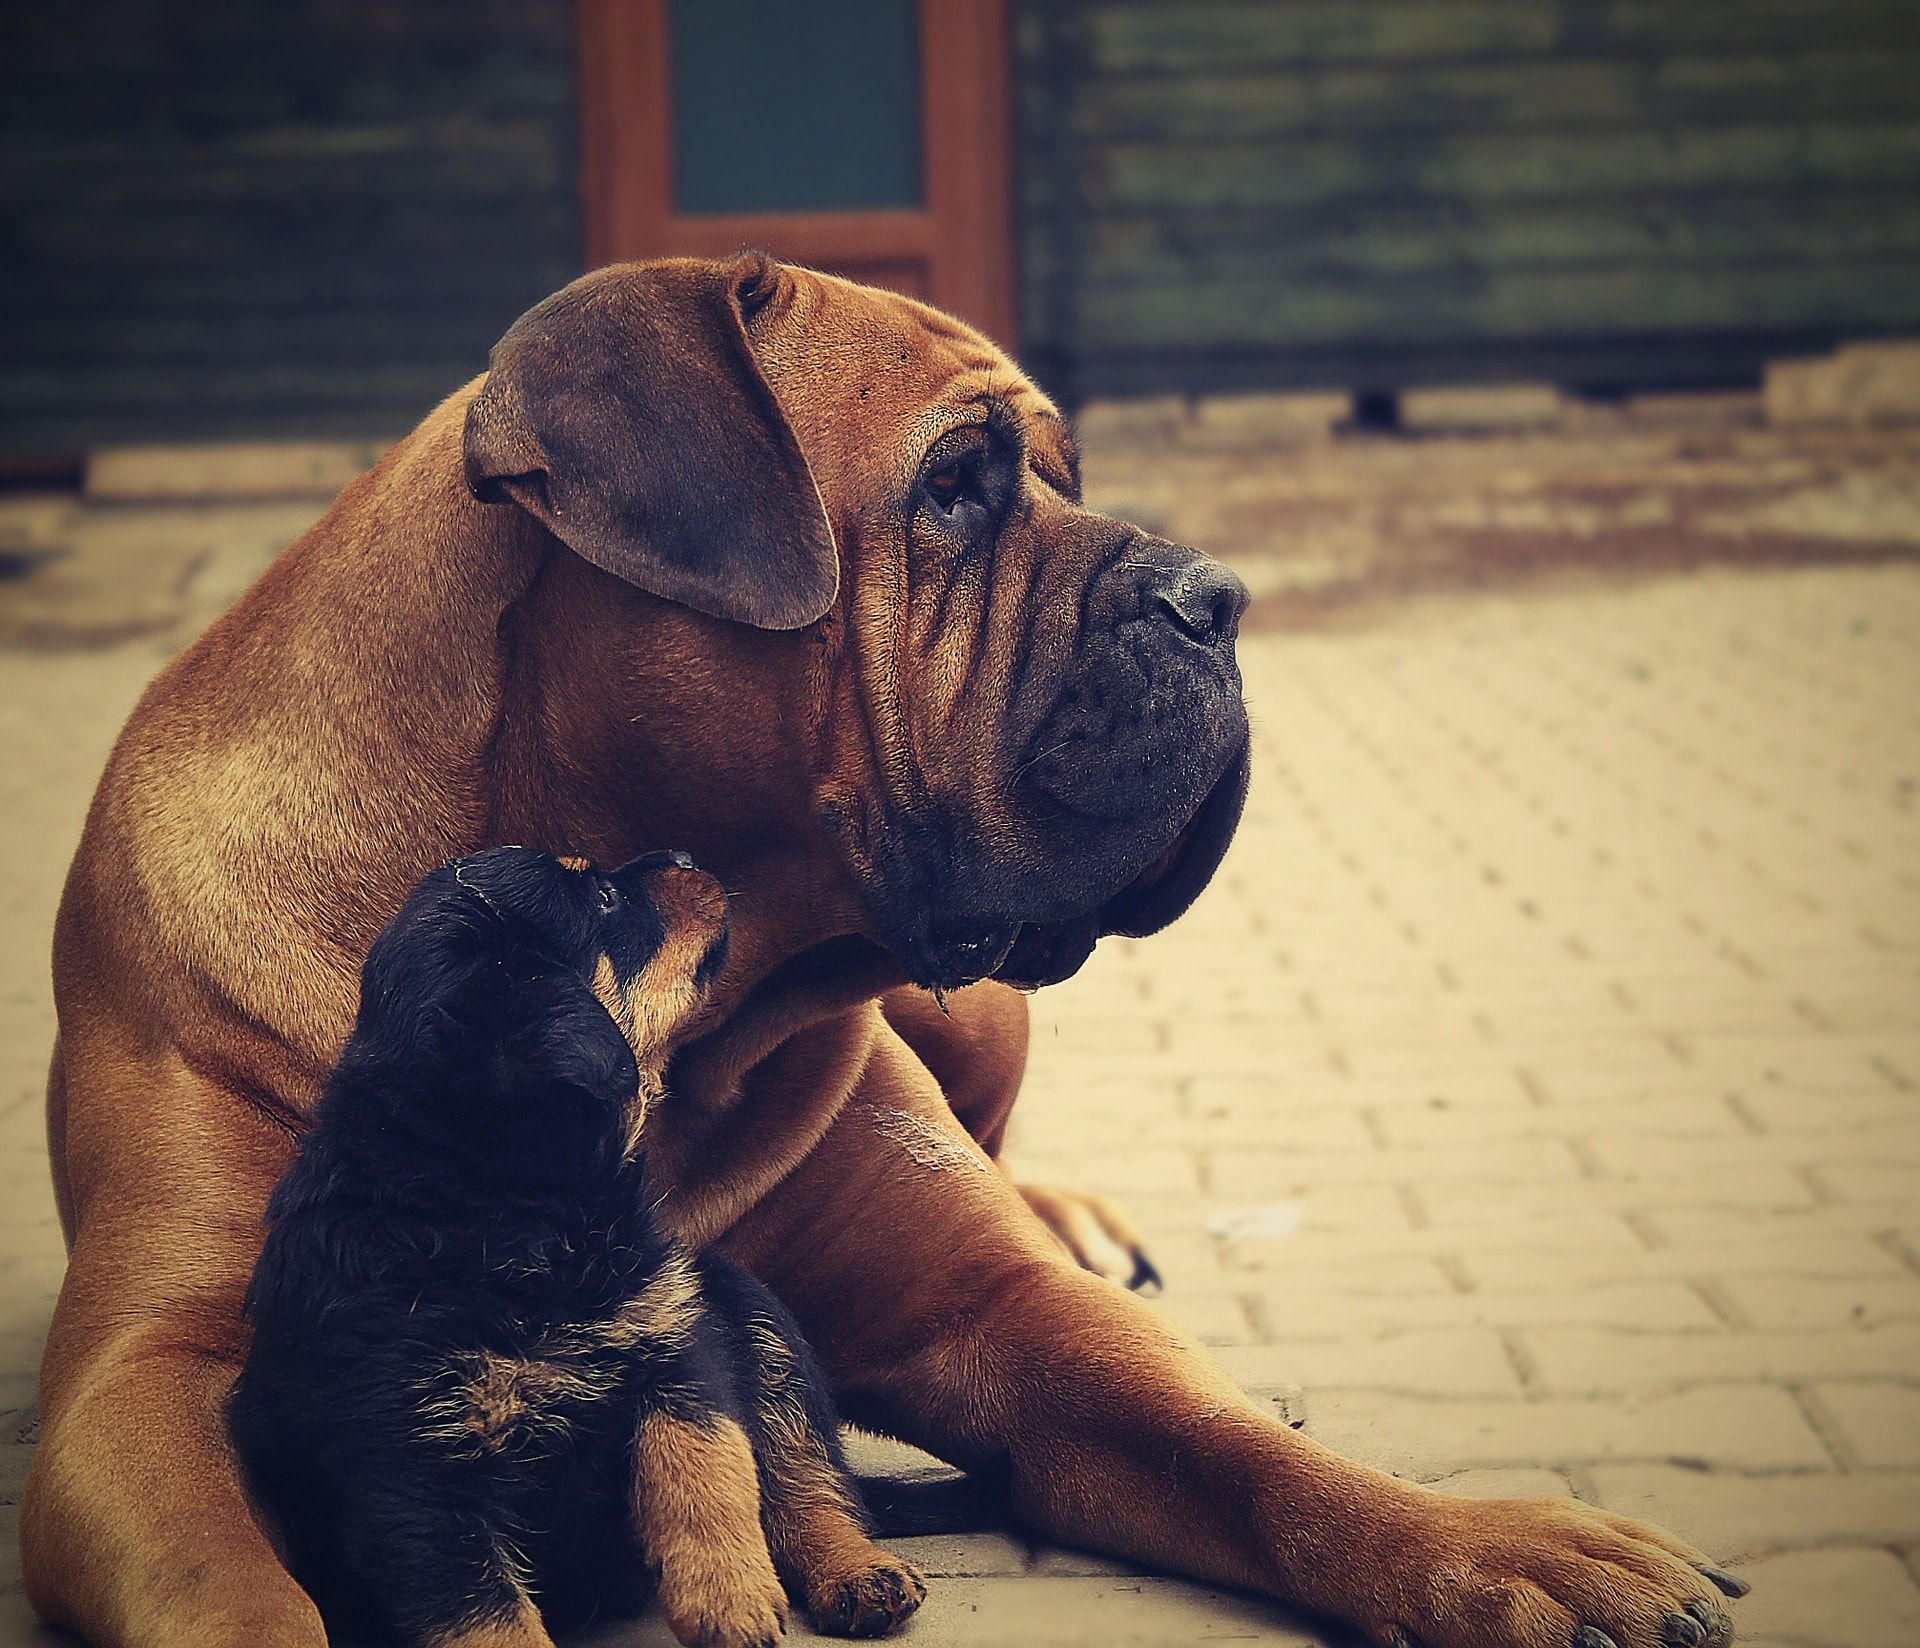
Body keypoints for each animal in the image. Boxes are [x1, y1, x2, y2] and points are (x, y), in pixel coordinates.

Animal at [228, 848, 925, 1644]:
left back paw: (857, 1572)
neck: (506, 1202)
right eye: (602, 899)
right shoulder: (411, 1473)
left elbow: (705, 1465)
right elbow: (485, 1615)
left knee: (803, 1471)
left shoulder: (675, 1341)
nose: (686, 855)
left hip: (750, 1311)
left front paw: (729, 1597)